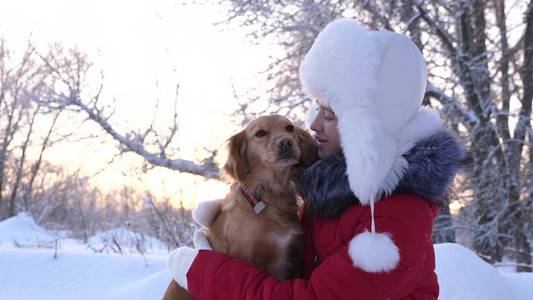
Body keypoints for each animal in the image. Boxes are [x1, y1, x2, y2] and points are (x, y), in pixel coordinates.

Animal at [162, 115, 316, 300]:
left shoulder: (292, 257)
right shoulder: (246, 257)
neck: (269, 195)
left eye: (290, 128)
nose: (286, 142)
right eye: (260, 133)